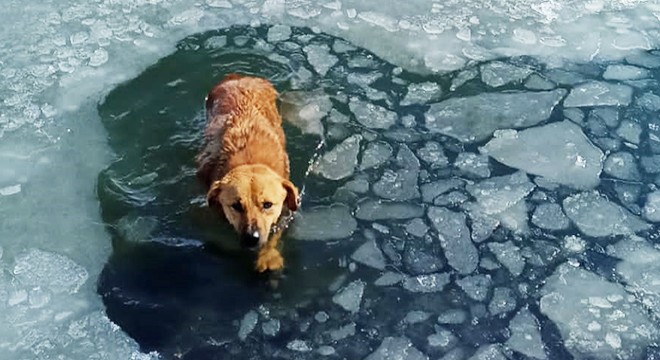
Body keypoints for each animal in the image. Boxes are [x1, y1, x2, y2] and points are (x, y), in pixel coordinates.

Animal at [196, 75, 300, 272]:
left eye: (267, 204)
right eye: (236, 205)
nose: (252, 238)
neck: (249, 160)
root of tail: (239, 77)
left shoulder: (284, 208)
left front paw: (268, 256)